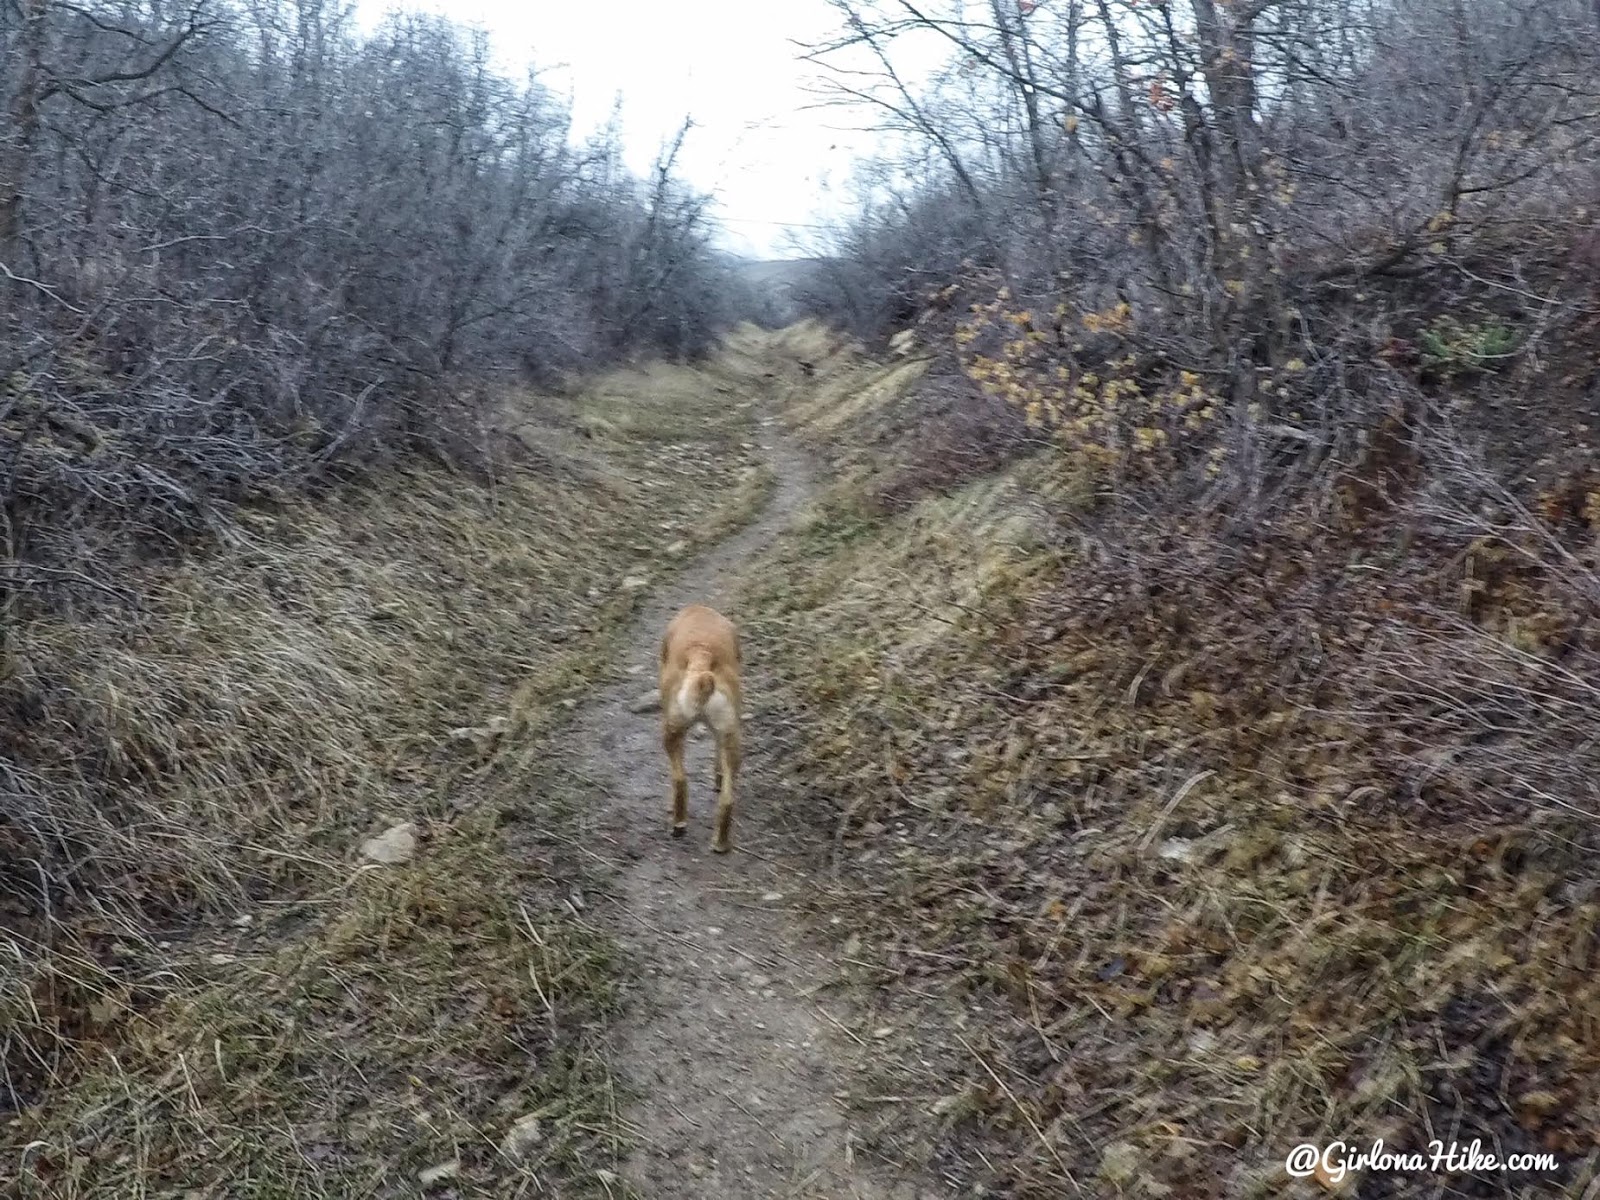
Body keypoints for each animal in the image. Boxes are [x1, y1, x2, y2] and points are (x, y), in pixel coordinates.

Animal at [656, 604, 742, 851]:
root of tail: (701, 659)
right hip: (731, 740)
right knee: (727, 799)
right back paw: (720, 843)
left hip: (670, 733)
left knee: (680, 780)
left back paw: (678, 823)